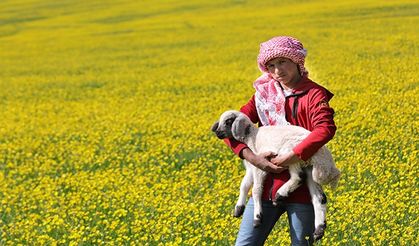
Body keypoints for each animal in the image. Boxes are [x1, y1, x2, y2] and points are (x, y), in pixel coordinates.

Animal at [210, 110, 342, 241]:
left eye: (228, 121)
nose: (217, 133)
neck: (251, 136)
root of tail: (325, 160)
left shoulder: (260, 166)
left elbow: (256, 190)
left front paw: (257, 217)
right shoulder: (251, 168)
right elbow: (244, 185)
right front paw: (239, 208)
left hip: (291, 154)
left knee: (298, 177)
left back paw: (280, 194)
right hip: (309, 168)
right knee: (319, 198)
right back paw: (319, 229)